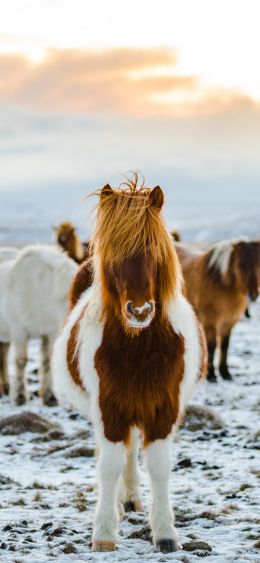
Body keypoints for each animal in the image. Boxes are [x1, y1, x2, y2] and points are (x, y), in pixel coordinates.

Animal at [0, 245, 77, 404]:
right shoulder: (19, 331)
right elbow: (21, 361)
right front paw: (20, 397)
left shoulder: (50, 332)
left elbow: (47, 361)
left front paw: (49, 397)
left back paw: (6, 388)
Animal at [52, 177, 207, 556]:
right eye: (114, 256)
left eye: (154, 251)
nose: (139, 311)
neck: (139, 349)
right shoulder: (110, 409)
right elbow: (108, 466)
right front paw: (104, 532)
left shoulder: (163, 409)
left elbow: (159, 467)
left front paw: (165, 533)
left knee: (131, 451)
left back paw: (132, 501)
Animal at [175, 238, 260, 384]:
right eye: (241, 265)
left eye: (258, 264)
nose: (253, 295)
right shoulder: (210, 322)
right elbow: (212, 346)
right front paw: (212, 375)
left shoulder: (228, 323)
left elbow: (225, 346)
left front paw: (225, 373)